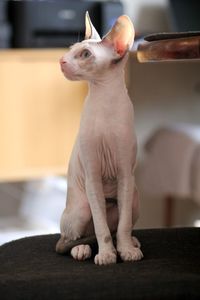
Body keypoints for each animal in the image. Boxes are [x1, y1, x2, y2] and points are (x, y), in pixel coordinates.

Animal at [55, 12, 143, 264]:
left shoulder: (125, 174)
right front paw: (106, 255)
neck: (105, 100)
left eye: (85, 54)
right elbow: (101, 228)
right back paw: (82, 249)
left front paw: (125, 250)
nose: (61, 61)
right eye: (70, 50)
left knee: (120, 225)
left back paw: (132, 241)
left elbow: (122, 226)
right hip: (82, 207)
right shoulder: (92, 177)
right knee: (71, 237)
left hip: (134, 197)